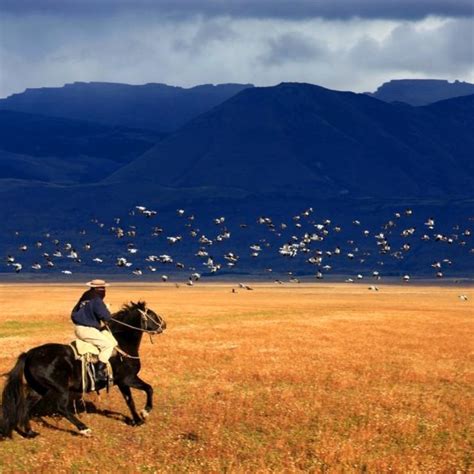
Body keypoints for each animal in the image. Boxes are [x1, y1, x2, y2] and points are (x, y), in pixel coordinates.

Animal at [0, 302, 167, 438]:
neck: (122, 344)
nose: (164, 324)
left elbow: (130, 400)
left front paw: (137, 420)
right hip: (60, 388)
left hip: (39, 389)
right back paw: (84, 429)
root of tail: (29, 354)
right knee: (61, 407)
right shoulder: (128, 379)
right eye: (152, 314)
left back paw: (29, 432)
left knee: (26, 406)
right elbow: (149, 389)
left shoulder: (122, 382)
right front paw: (145, 412)